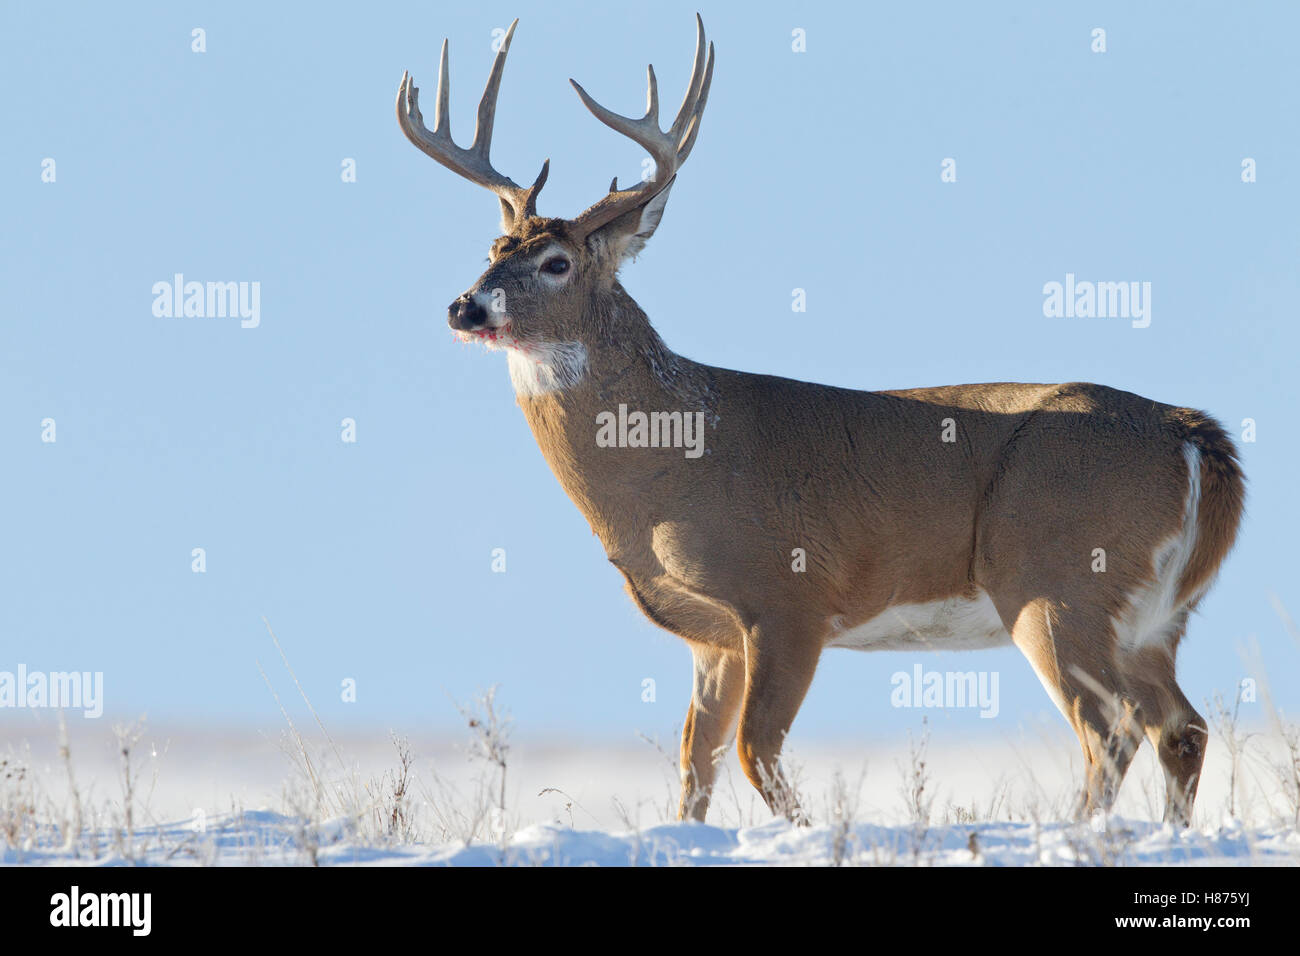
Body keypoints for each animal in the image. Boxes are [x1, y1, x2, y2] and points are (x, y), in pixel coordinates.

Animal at [396, 16, 1245, 826]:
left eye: (557, 263)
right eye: (493, 247)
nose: (465, 307)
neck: (666, 466)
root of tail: (1193, 437)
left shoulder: (788, 596)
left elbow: (755, 751)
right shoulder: (712, 637)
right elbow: (695, 763)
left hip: (1057, 580)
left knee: (1112, 730)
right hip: (1153, 619)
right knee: (1183, 727)